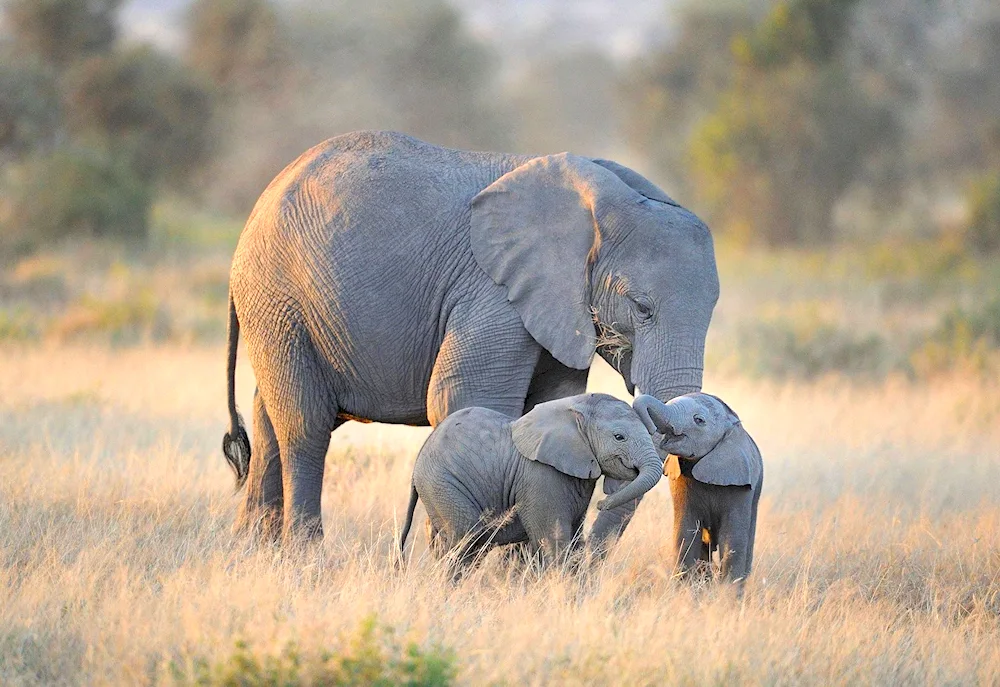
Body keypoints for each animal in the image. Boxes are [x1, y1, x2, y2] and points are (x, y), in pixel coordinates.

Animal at [223, 132, 720, 544]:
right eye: (641, 307)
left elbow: (550, 404)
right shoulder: (492, 291)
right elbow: (464, 397)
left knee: (269, 421)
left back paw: (253, 552)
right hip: (278, 298)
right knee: (304, 426)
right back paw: (305, 557)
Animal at [398, 392, 664, 568]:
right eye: (619, 437)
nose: (602, 504)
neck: (574, 407)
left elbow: (575, 540)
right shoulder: (540, 477)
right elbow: (554, 541)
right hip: (443, 484)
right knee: (466, 541)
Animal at [632, 392, 764, 584]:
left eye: (699, 420)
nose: (650, 428)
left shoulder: (740, 486)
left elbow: (732, 540)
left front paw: (727, 592)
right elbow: (685, 534)